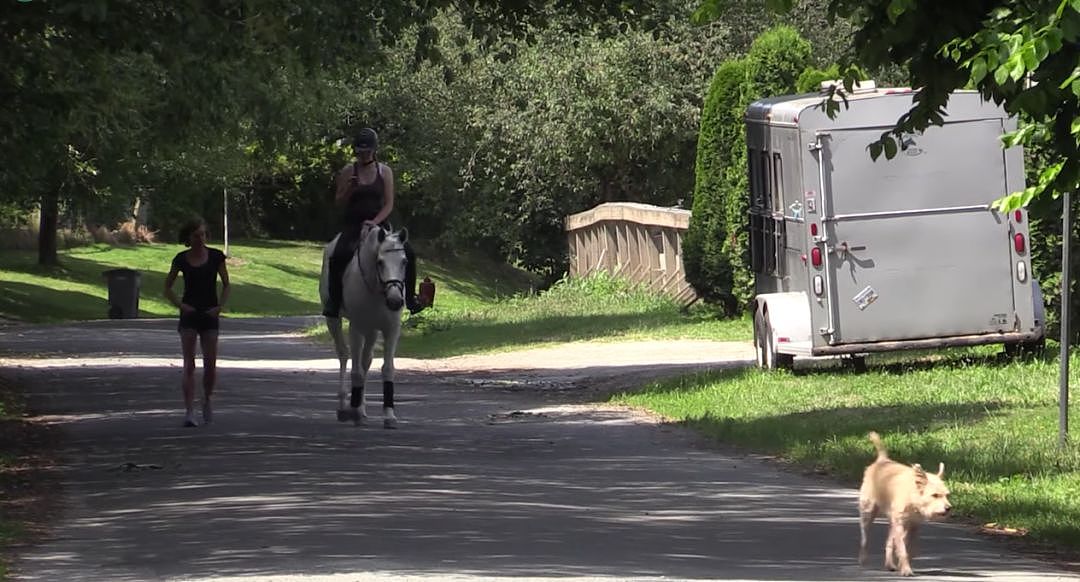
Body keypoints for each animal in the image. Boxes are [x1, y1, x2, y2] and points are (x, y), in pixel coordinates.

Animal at [319, 223, 408, 427]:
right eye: (380, 262)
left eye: (405, 262)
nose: (395, 301)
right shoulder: (357, 328)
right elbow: (356, 370)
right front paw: (355, 413)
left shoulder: (391, 330)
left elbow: (387, 369)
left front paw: (389, 416)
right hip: (334, 321)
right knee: (344, 355)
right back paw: (345, 407)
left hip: (372, 330)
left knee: (366, 360)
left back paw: (361, 407)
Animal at [855, 429, 950, 574]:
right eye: (935, 495)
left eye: (947, 495)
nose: (948, 508)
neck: (913, 499)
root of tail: (882, 460)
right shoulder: (900, 524)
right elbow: (902, 548)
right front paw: (905, 569)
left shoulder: (914, 526)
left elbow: (909, 548)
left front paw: (904, 564)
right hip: (868, 512)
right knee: (865, 538)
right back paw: (863, 559)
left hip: (893, 522)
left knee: (889, 542)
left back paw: (890, 564)